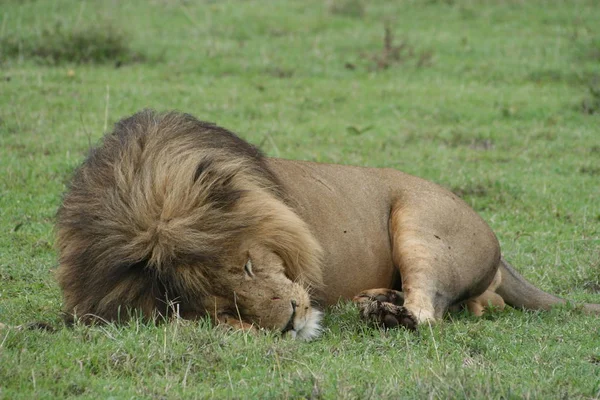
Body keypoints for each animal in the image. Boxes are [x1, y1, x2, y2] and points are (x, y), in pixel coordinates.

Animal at [55, 108, 596, 338]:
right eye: (220, 303)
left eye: (248, 266)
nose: (292, 320)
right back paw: (379, 301)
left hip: (420, 222)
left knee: (430, 310)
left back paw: (388, 315)